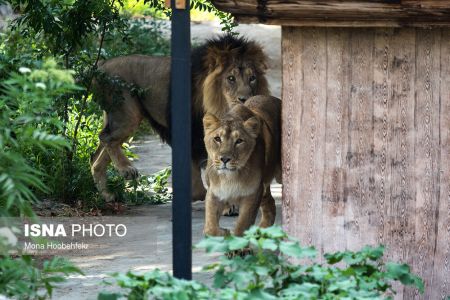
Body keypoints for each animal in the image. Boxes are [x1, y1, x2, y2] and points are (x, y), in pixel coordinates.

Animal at [89, 35, 268, 204]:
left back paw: (108, 195)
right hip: (126, 114)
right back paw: (126, 169)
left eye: (252, 78)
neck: (218, 106)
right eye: (231, 78)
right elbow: (203, 177)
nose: (245, 99)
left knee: (96, 158)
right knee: (106, 138)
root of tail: (101, 65)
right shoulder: (191, 135)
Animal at [202, 96, 280, 237]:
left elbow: (242, 226)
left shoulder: (253, 193)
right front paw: (224, 233)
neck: (229, 177)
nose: (225, 159)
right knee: (271, 204)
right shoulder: (214, 191)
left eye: (239, 141)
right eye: (217, 139)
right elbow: (210, 228)